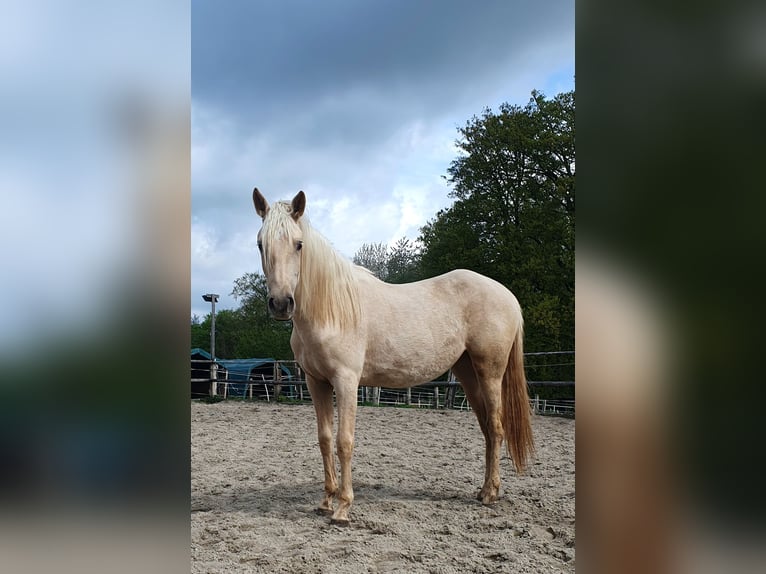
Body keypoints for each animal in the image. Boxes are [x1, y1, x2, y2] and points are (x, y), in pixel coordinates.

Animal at [251, 188, 534, 524]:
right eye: (260, 244)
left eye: (298, 243)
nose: (281, 303)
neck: (331, 309)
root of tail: (507, 296)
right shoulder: (315, 382)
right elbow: (325, 439)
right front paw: (326, 501)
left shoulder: (346, 381)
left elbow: (344, 441)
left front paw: (343, 507)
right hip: (467, 372)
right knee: (487, 430)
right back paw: (482, 491)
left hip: (490, 372)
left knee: (496, 427)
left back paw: (490, 494)